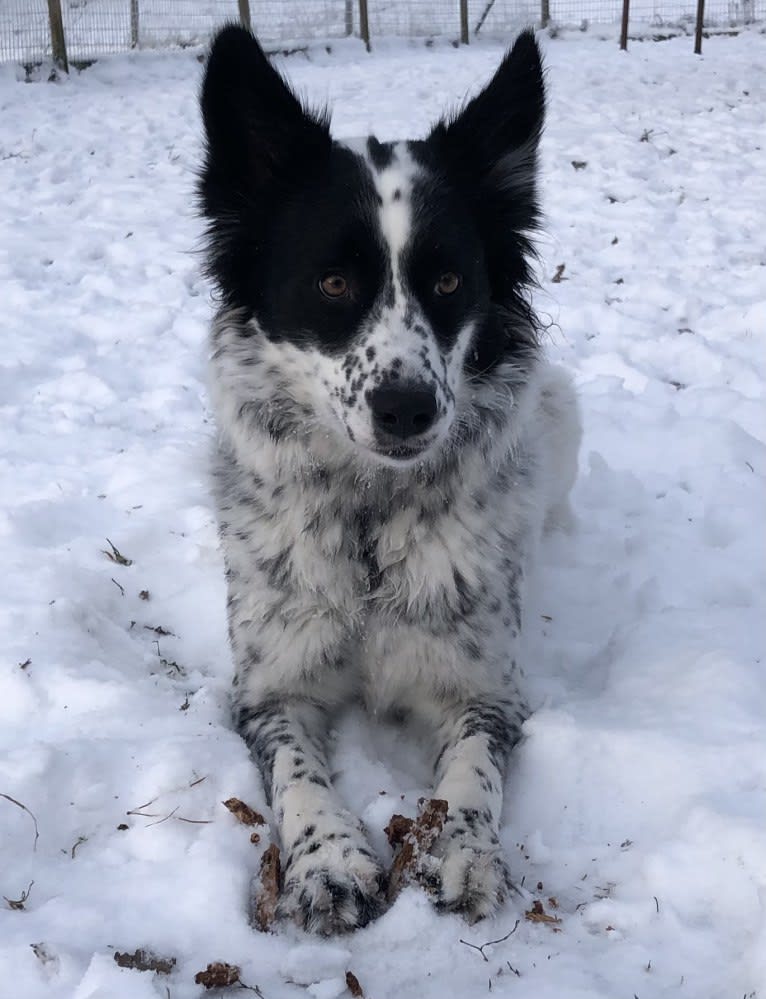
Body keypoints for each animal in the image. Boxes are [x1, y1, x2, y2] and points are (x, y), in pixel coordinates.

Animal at [198, 25, 584, 936]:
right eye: (333, 282)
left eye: (448, 282)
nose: (406, 407)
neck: (371, 514)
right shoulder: (269, 687)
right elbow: (298, 774)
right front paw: (331, 859)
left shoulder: (487, 688)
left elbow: (473, 771)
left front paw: (462, 851)